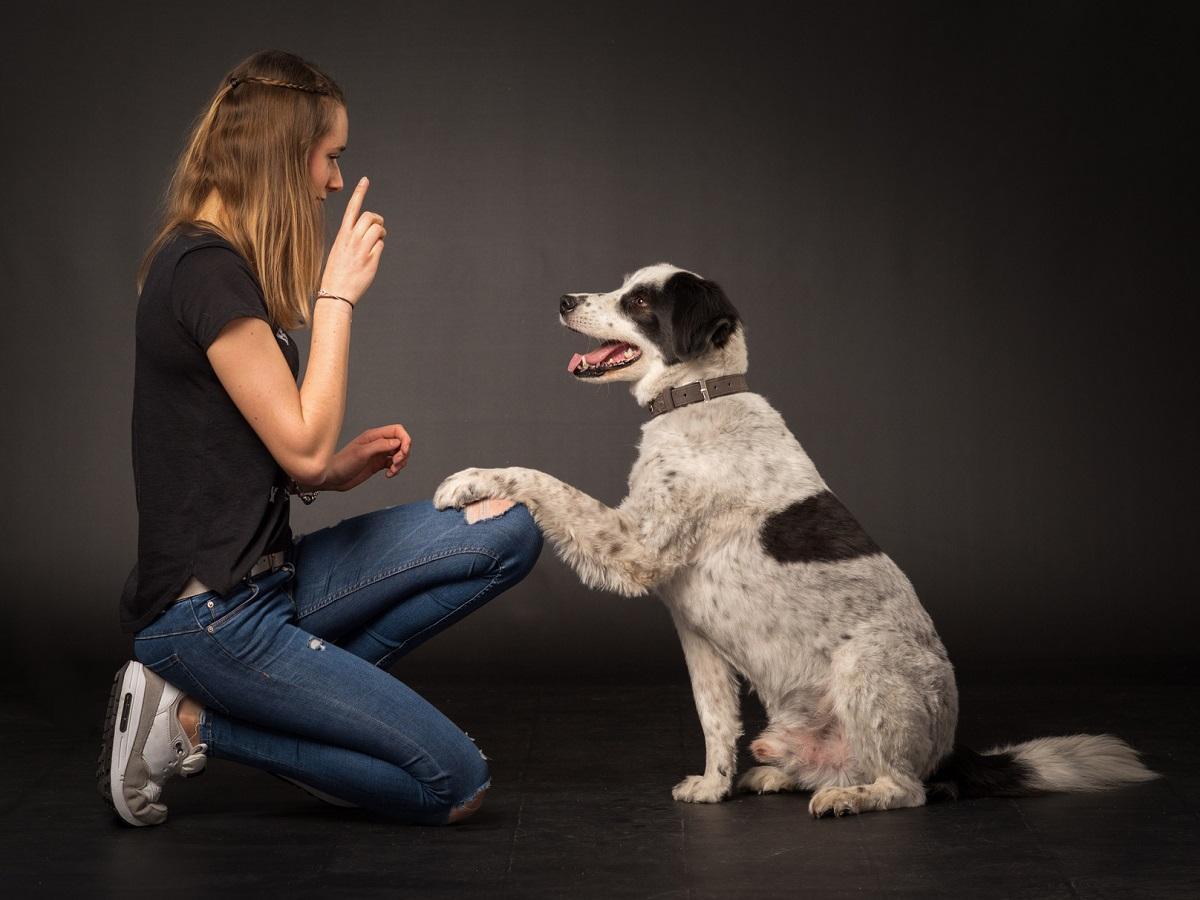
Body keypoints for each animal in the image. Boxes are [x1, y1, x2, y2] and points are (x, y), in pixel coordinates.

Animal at [436, 262, 1156, 816]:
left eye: (638, 301)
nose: (563, 300)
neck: (701, 396)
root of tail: (951, 751)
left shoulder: (632, 546)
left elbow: (543, 481)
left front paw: (473, 482)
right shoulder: (694, 630)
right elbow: (716, 719)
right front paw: (714, 786)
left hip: (871, 668)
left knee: (908, 789)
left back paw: (854, 798)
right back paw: (777, 770)